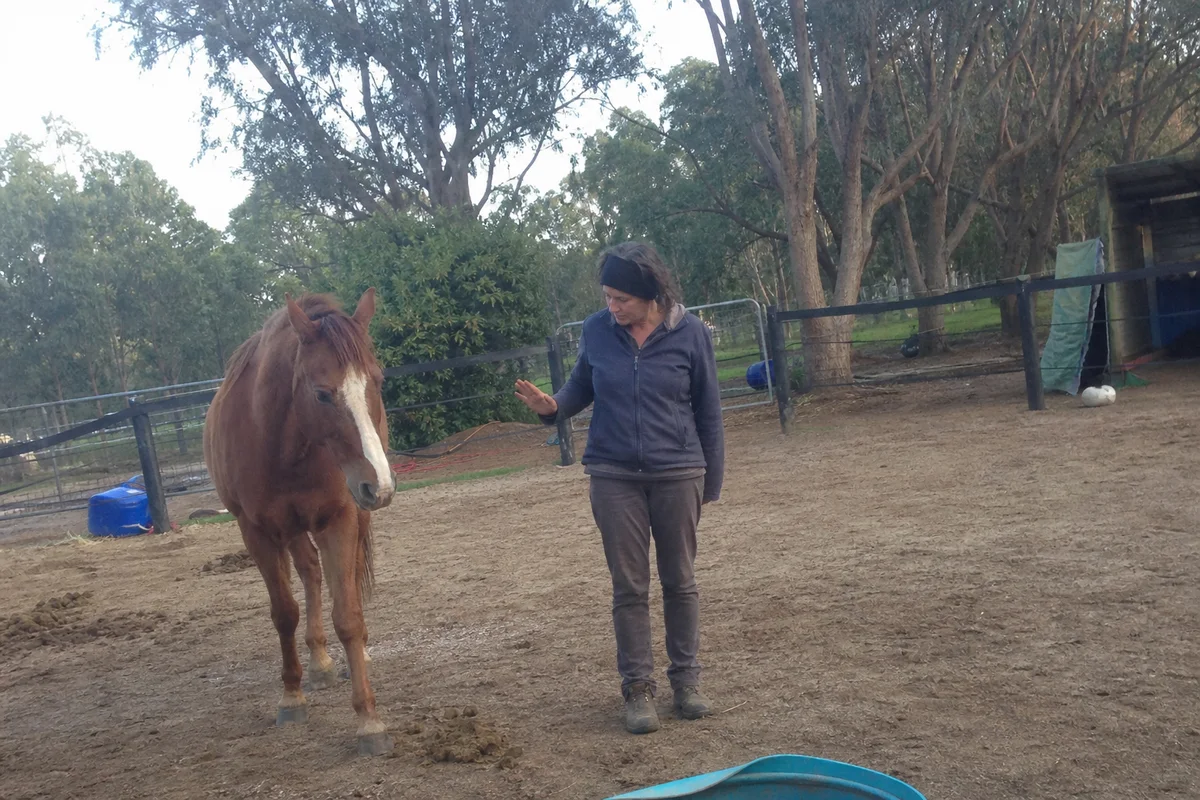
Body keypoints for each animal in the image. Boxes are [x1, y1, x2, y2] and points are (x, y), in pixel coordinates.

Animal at [202, 288, 397, 756]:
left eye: (377, 381)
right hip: (289, 530)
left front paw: (369, 720)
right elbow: (284, 613)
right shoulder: (256, 531)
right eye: (323, 394)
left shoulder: (339, 519)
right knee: (309, 572)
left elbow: (348, 615)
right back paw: (319, 662)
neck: (282, 443)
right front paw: (291, 696)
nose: (379, 485)